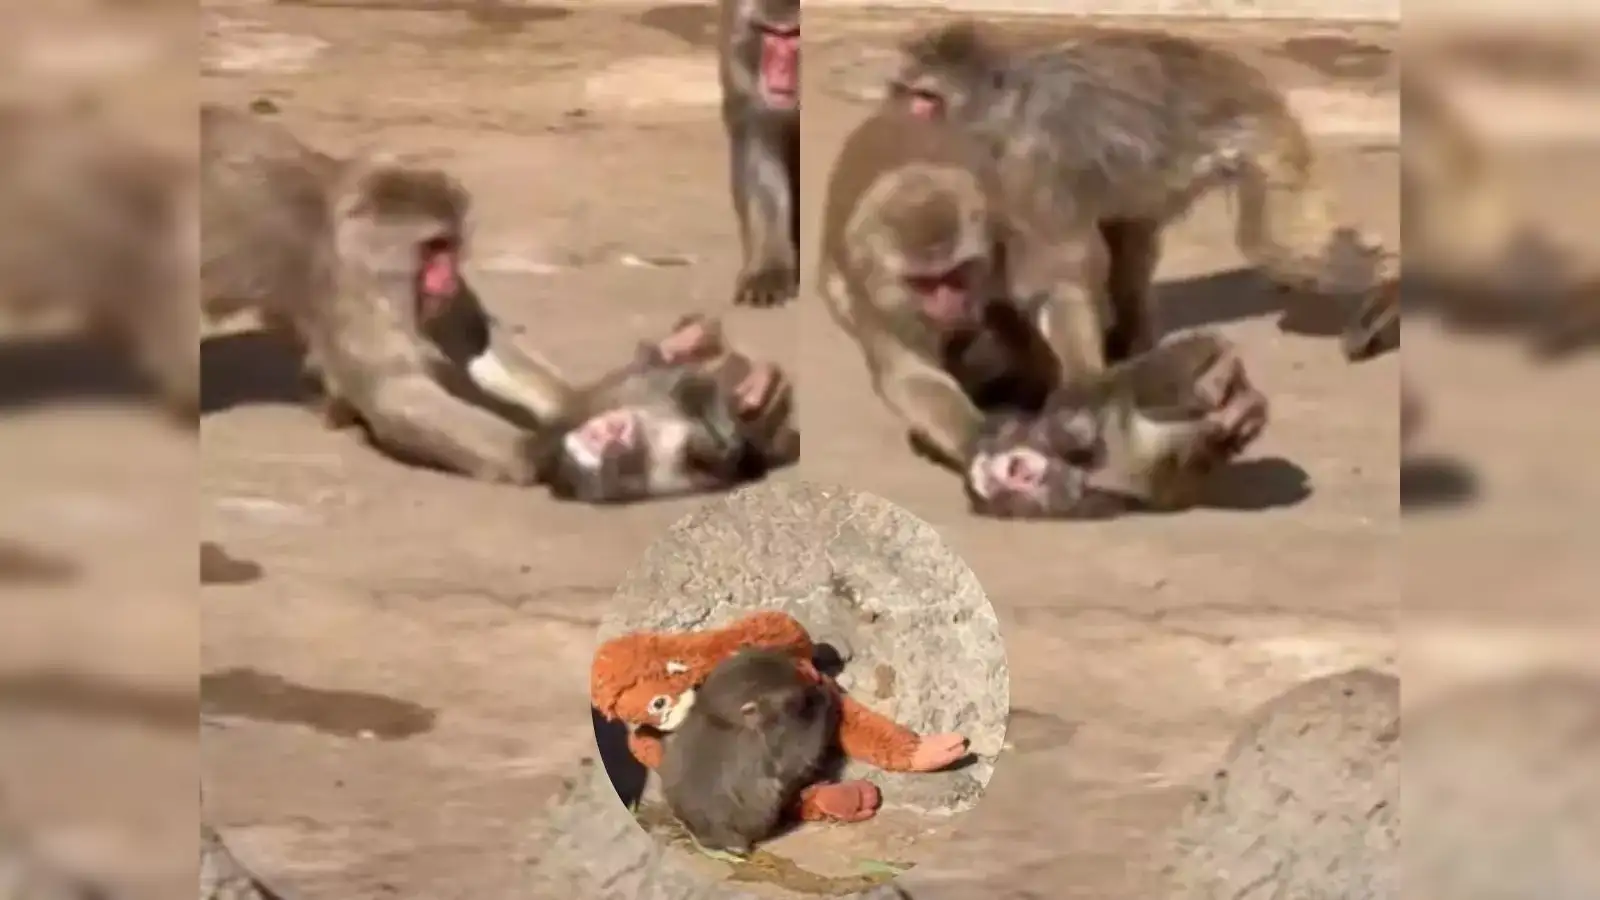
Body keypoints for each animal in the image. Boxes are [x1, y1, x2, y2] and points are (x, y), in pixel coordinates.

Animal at [200, 104, 579, 483]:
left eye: (451, 245)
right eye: (434, 246)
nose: (448, 278)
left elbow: (471, 337)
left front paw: (573, 406)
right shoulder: (351, 280)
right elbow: (392, 390)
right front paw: (538, 452)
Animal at [884, 21, 1384, 364]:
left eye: (926, 99)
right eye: (907, 93)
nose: (904, 114)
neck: (1007, 105)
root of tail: (1247, 80)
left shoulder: (1033, 156)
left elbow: (1061, 268)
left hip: (1262, 139)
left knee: (1272, 244)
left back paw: (1380, 290)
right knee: (1131, 238)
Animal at [962, 332, 1269, 519]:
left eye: (1011, 468)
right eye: (999, 483)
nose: (1019, 473)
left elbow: (1075, 411)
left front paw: (1068, 436)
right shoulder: (1034, 503)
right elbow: (1081, 496)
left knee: (1145, 382)